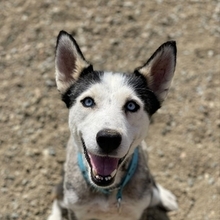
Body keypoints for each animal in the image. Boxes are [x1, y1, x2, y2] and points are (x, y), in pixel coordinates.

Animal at [47, 30, 178, 220]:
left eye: (131, 105)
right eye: (88, 101)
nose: (108, 139)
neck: (107, 190)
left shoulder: (137, 210)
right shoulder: (77, 210)